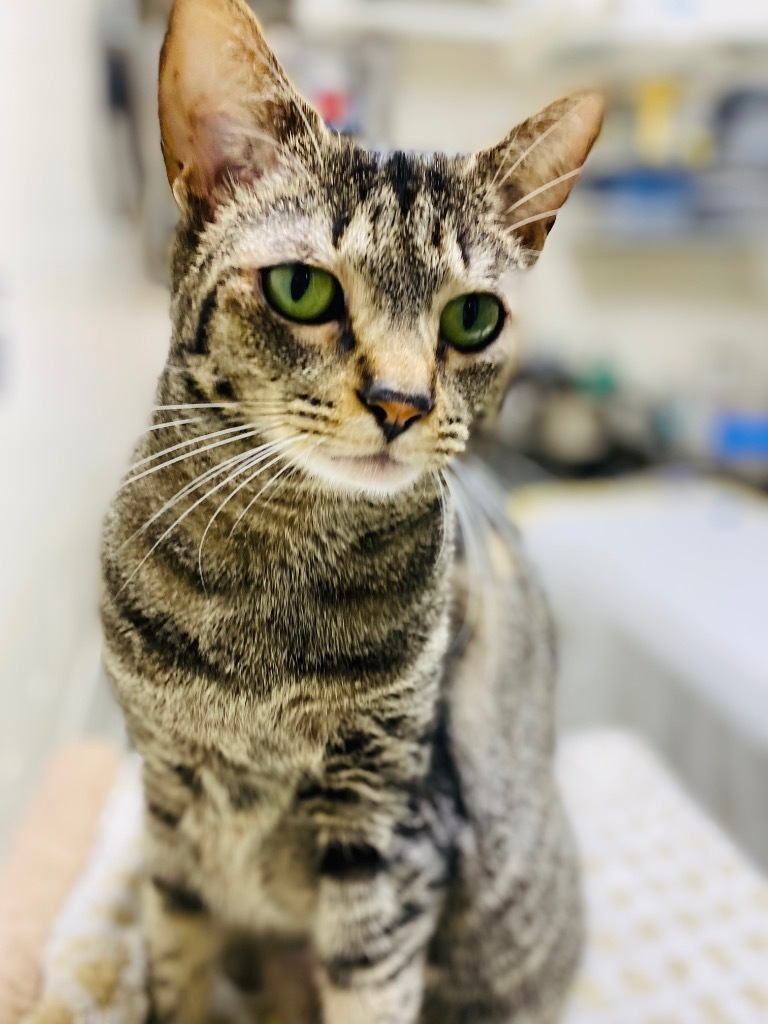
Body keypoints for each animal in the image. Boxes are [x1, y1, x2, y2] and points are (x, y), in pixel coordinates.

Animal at [100, 4, 606, 1019]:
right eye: (303, 289)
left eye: (473, 319)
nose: (401, 403)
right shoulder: (167, 804)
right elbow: (175, 958)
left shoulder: (393, 833)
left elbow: (370, 987)